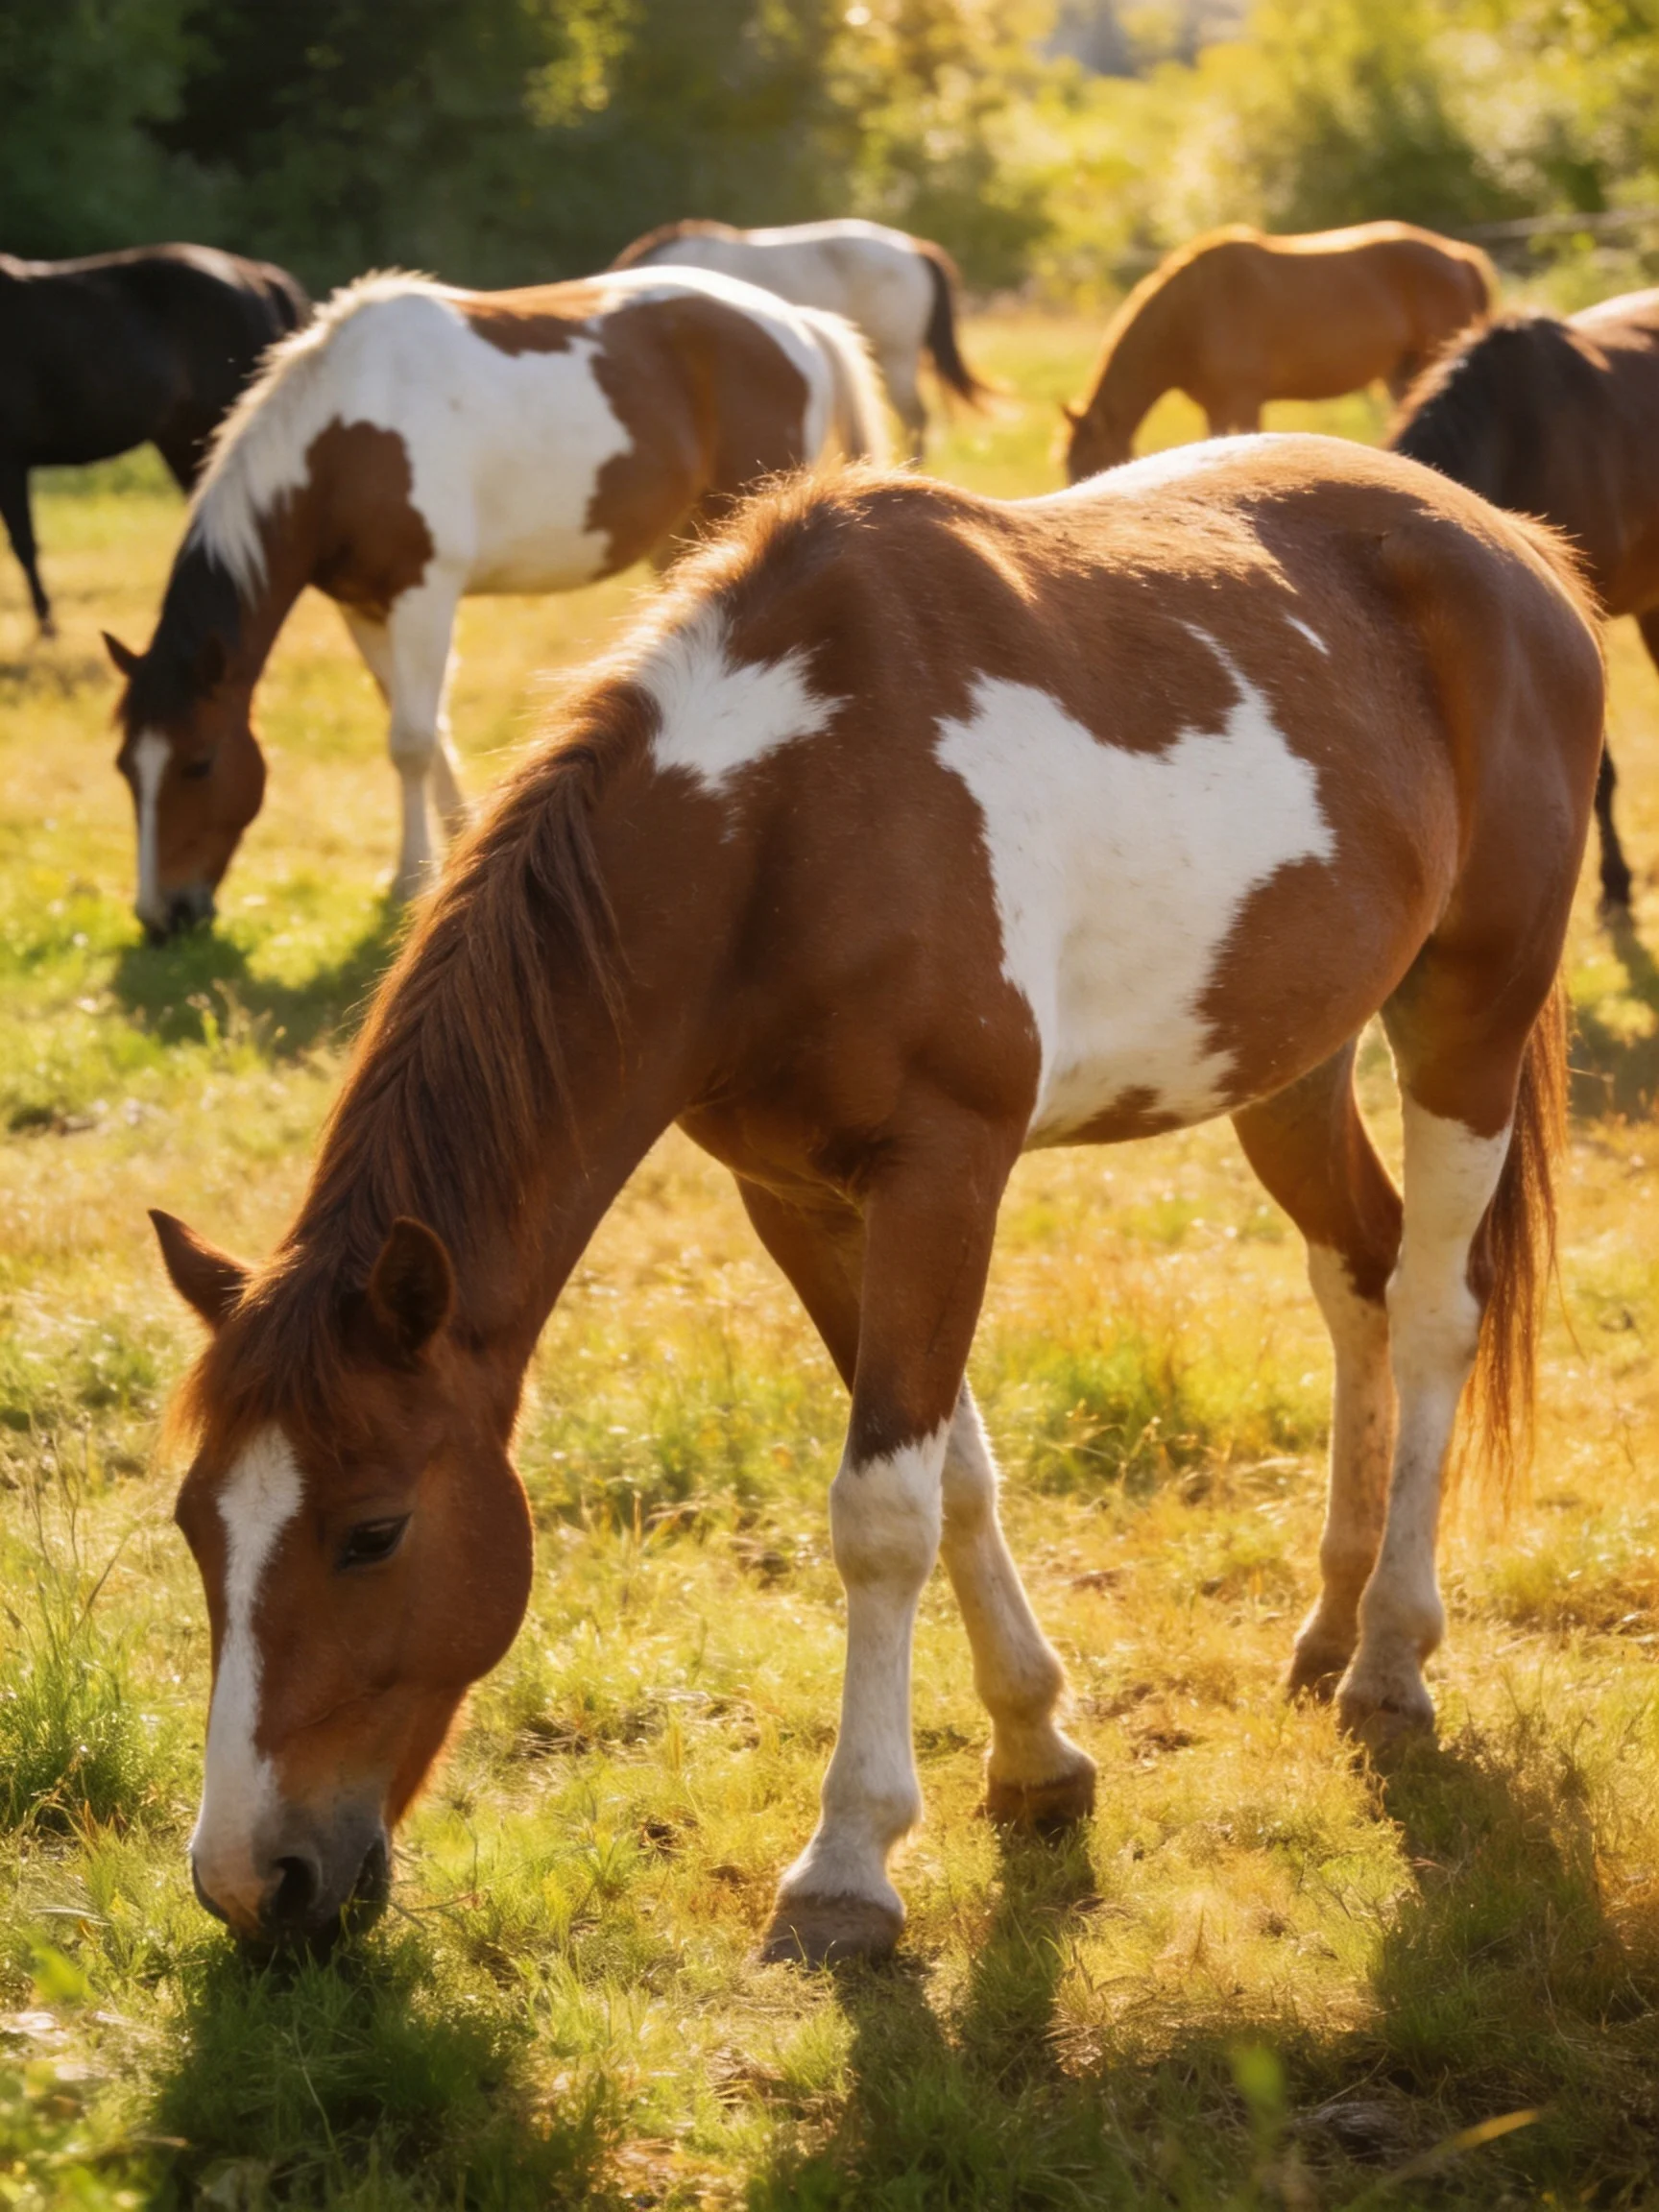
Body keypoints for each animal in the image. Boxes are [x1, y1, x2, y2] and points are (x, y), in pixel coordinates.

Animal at [102, 266, 888, 940]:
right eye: (126, 770)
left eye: (199, 763)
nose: (162, 917)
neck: (342, 438)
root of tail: (799, 324)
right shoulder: (365, 608)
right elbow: (421, 725)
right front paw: (454, 843)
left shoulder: (424, 593)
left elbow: (411, 739)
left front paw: (407, 879)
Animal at [149, 437, 1601, 1964]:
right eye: (195, 1525)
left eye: (374, 1532)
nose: (253, 1882)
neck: (783, 825)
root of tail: (1517, 548)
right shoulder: (795, 1196)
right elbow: (952, 1469)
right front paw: (1035, 1750)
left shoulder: (943, 1173)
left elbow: (885, 1511)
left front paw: (849, 1859)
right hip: (1291, 1061)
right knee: (1357, 1274)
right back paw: (1329, 1619)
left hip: (1469, 1021)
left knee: (1437, 1307)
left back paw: (1390, 1655)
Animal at [1063, 223, 1496, 483]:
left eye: (1089, 465)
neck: (1193, 311)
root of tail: (1461, 258)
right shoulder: (1214, 408)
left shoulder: (1243, 401)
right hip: (1402, 373)